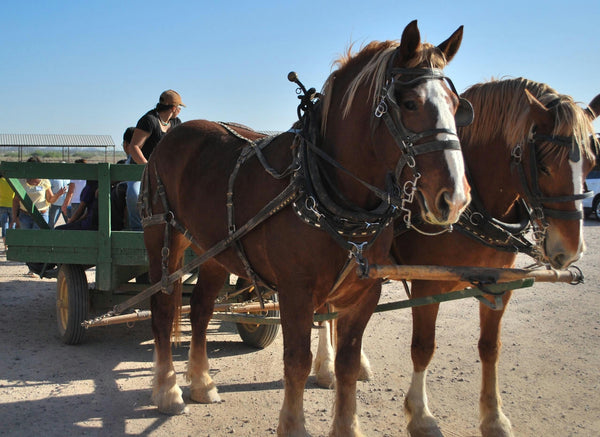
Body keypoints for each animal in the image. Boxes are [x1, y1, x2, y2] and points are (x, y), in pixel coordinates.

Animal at [143, 21, 472, 436]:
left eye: (457, 106)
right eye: (410, 103)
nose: (455, 198)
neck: (326, 187)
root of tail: (172, 137)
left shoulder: (365, 293)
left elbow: (347, 364)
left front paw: (346, 425)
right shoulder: (294, 292)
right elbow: (296, 361)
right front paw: (294, 424)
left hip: (215, 250)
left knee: (200, 309)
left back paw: (202, 383)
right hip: (164, 238)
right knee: (163, 307)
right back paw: (168, 390)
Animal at [316, 76, 596, 434]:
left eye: (590, 164)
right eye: (544, 166)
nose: (571, 250)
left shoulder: (499, 286)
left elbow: (490, 349)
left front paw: (494, 418)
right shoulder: (427, 286)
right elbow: (423, 348)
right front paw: (420, 415)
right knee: (326, 311)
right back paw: (325, 367)